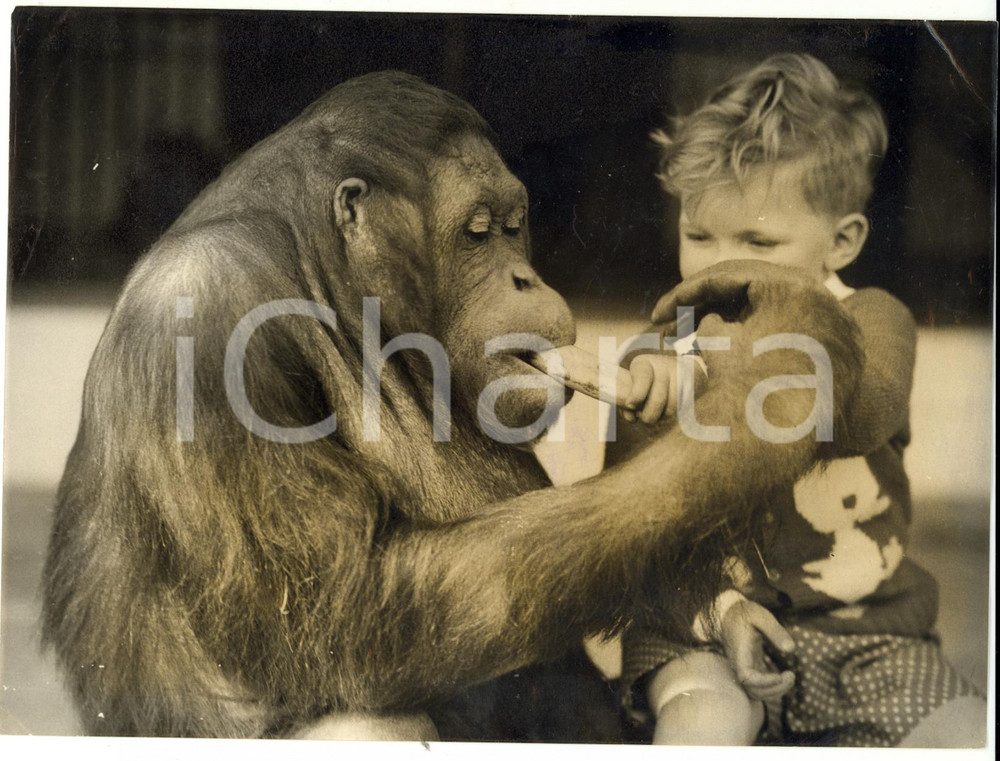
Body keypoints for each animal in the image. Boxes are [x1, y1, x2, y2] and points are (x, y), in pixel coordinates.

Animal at [41, 71, 864, 739]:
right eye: (477, 232)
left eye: (514, 224)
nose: (525, 278)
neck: (332, 290)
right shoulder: (206, 332)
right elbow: (341, 618)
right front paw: (774, 392)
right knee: (363, 716)